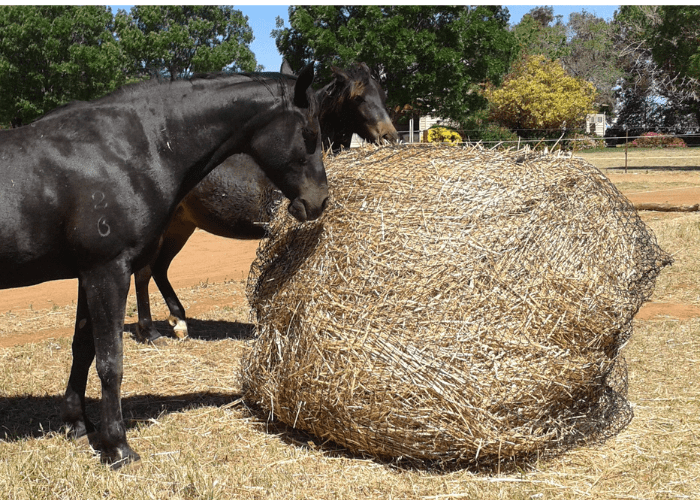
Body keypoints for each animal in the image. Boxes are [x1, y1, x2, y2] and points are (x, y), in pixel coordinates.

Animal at [0, 64, 328, 466]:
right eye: (310, 134)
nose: (318, 201)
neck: (129, 148)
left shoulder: (87, 274)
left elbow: (83, 349)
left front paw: (78, 425)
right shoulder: (107, 272)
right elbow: (110, 361)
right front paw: (117, 446)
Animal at [133, 61, 396, 344]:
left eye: (383, 94)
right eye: (358, 97)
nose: (389, 137)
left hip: (181, 227)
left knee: (160, 269)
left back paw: (179, 321)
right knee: (144, 272)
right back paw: (149, 330)